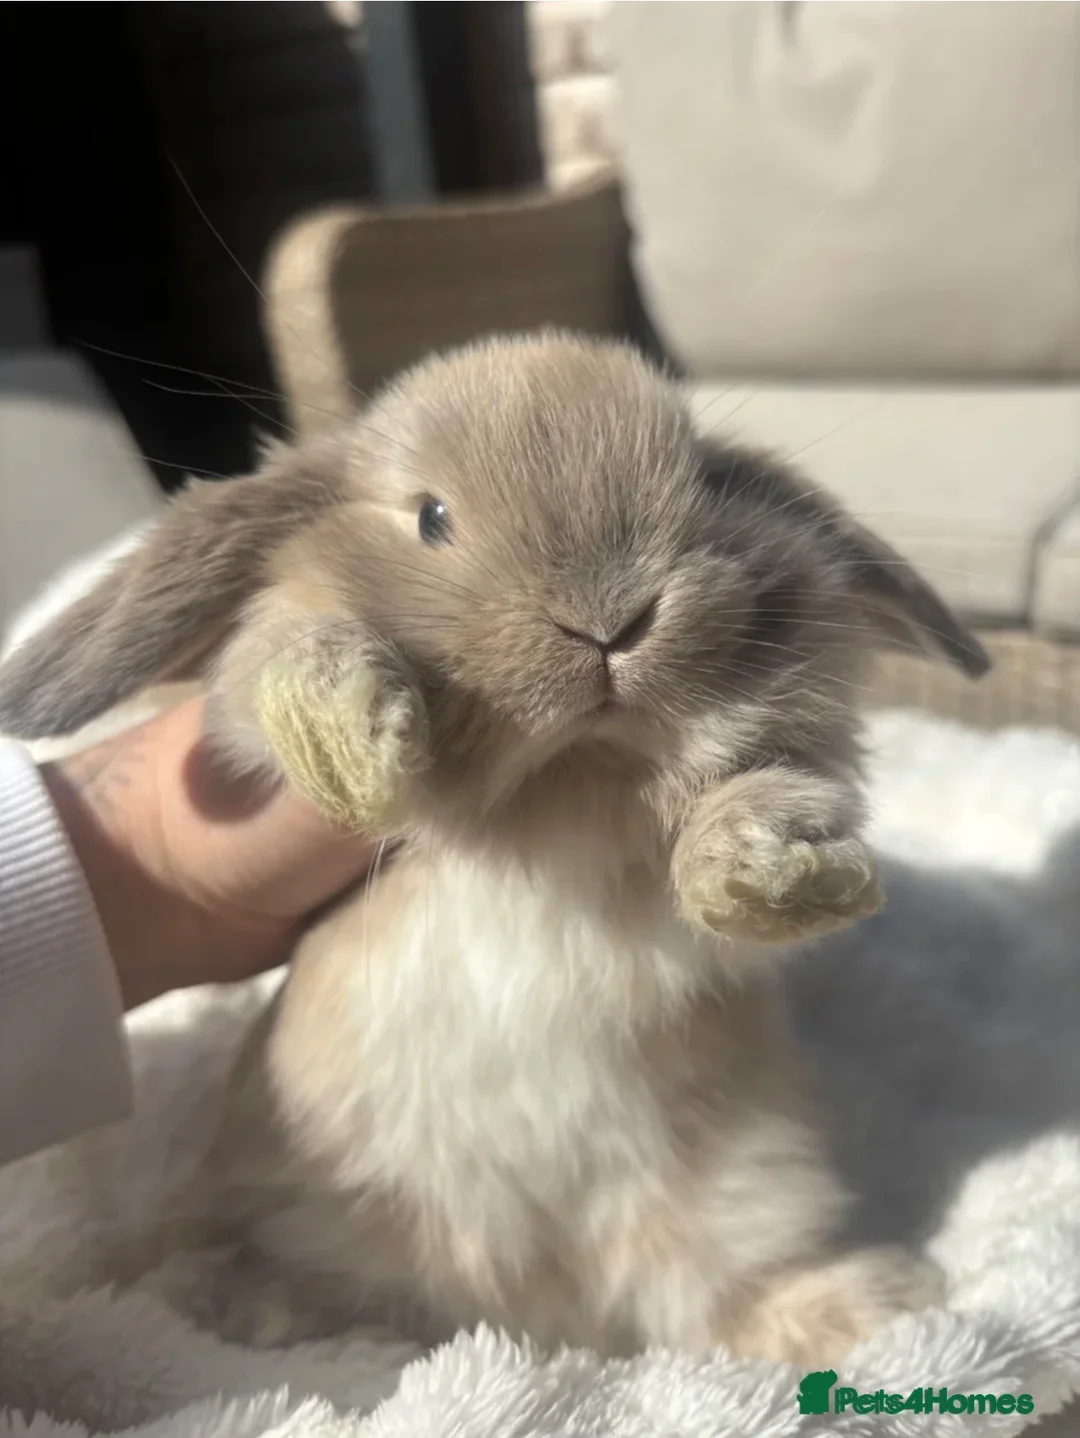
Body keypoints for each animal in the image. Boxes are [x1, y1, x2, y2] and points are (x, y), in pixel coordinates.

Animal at [0, 330, 989, 1366]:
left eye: (706, 484)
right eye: (430, 518)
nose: (611, 621)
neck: (568, 771)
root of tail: (542, 1314)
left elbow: (745, 801)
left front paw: (774, 864)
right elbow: (295, 650)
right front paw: (351, 733)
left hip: (749, 1190)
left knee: (719, 1301)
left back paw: (885, 1313)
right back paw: (240, 1305)